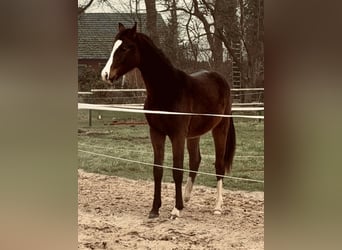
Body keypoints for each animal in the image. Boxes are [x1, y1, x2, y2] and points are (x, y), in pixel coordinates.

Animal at [101, 23, 235, 219]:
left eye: (125, 47)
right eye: (113, 46)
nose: (105, 75)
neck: (167, 90)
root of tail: (221, 79)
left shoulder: (177, 135)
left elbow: (177, 169)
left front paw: (175, 209)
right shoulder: (156, 133)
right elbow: (158, 169)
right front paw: (155, 209)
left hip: (220, 128)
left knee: (219, 165)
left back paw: (217, 206)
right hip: (193, 135)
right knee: (195, 160)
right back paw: (186, 197)